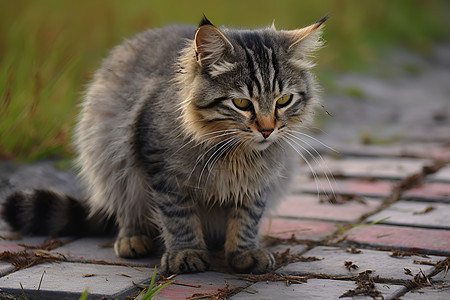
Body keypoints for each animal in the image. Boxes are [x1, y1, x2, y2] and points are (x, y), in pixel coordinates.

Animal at [2, 15, 326, 274]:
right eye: (242, 103)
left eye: (284, 100)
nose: (268, 130)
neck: (233, 152)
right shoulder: (163, 172)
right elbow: (179, 217)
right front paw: (186, 253)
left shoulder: (259, 181)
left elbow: (247, 217)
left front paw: (243, 252)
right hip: (110, 160)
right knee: (125, 209)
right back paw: (134, 239)